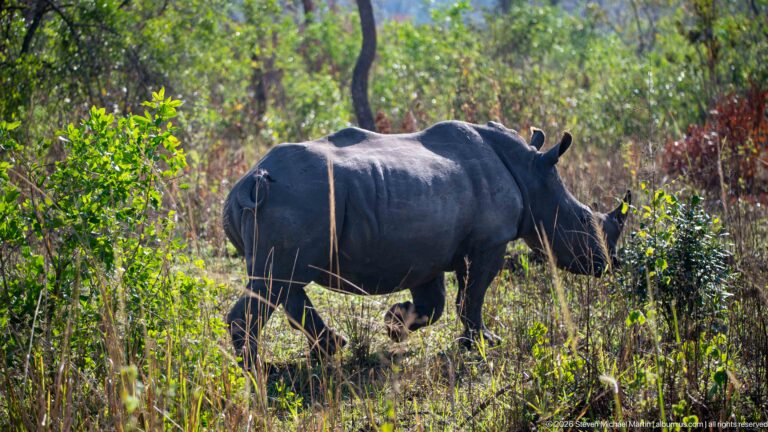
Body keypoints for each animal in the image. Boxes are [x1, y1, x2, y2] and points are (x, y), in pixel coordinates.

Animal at [223, 121, 630, 365]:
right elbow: (473, 296)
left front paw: (394, 324)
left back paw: (330, 348)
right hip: (297, 200)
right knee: (276, 283)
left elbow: (435, 304)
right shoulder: (489, 243)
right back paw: (258, 370)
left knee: (283, 282)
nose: (607, 265)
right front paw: (485, 342)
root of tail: (250, 179)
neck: (531, 174)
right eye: (583, 221)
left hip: (292, 206)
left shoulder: (427, 249)